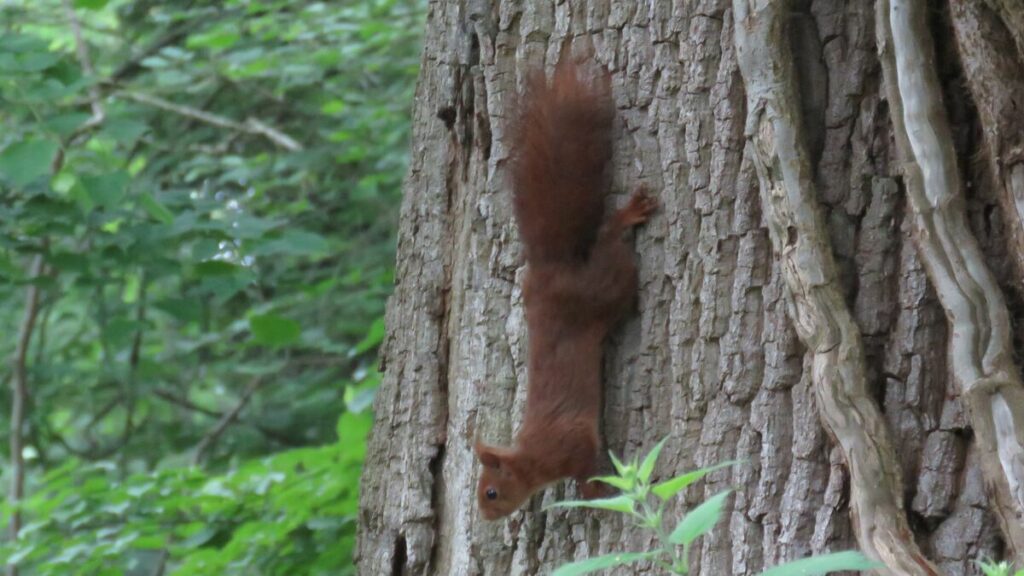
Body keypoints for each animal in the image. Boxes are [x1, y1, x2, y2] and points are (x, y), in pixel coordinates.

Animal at [473, 62, 655, 520]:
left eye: (491, 492)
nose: (486, 518)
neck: (532, 458)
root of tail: (549, 270)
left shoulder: (571, 443)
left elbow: (587, 468)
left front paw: (599, 494)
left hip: (602, 289)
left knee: (609, 244)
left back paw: (629, 214)